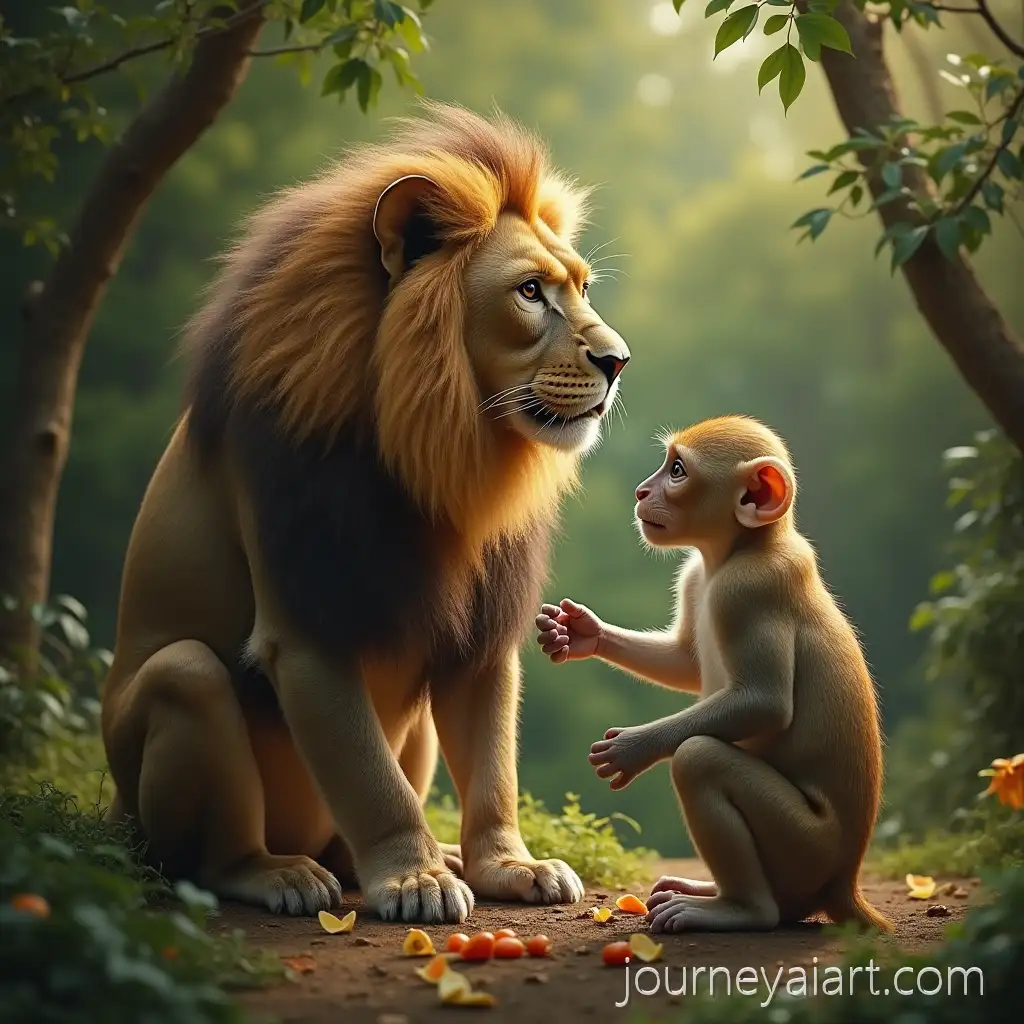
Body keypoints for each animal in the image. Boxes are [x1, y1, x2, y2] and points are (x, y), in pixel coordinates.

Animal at [100, 101, 631, 923]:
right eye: (529, 292)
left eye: (579, 286)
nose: (618, 360)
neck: (442, 452)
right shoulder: (306, 626)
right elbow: (370, 781)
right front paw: (414, 880)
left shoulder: (482, 633)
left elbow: (493, 772)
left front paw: (507, 866)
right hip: (177, 708)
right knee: (207, 843)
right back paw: (277, 875)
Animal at [535, 415, 892, 933]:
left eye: (677, 470)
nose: (642, 491)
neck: (740, 547)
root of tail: (843, 882)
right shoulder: (693, 576)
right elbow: (684, 659)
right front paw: (580, 632)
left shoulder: (748, 590)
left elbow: (765, 703)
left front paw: (631, 748)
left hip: (806, 846)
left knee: (699, 759)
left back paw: (740, 908)